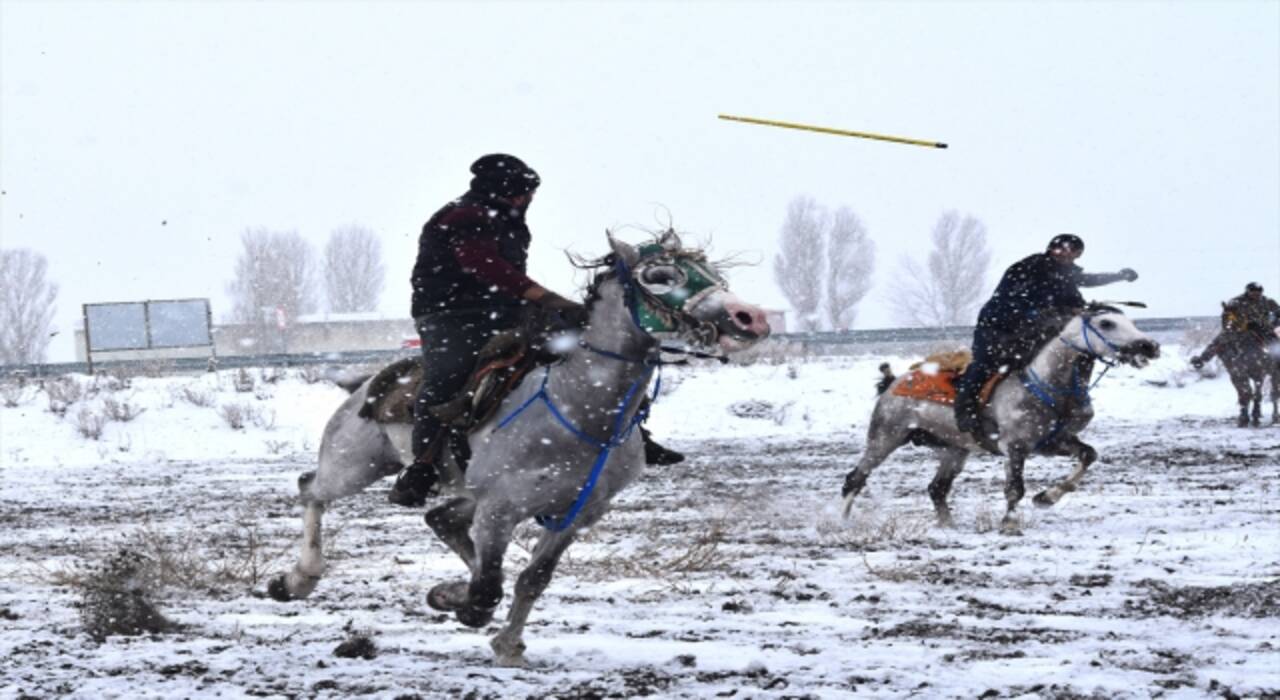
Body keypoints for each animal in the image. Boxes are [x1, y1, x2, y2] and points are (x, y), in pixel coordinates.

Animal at [268, 232, 762, 665]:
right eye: (660, 275)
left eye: (712, 273)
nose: (750, 316)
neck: (577, 408)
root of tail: (367, 383)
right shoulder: (498, 509)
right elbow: (489, 586)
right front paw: (465, 606)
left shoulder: (575, 515)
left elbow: (529, 579)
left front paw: (505, 644)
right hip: (355, 465)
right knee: (311, 489)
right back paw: (297, 580)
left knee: (439, 518)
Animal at [839, 304, 1162, 534]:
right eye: (1106, 323)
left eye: (1131, 322)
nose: (1150, 346)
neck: (1044, 383)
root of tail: (892, 382)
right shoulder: (1015, 447)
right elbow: (1015, 488)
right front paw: (1010, 524)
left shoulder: (1054, 442)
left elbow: (1088, 455)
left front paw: (1047, 498)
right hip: (885, 436)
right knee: (855, 478)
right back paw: (841, 521)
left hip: (954, 450)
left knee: (937, 489)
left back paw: (948, 526)